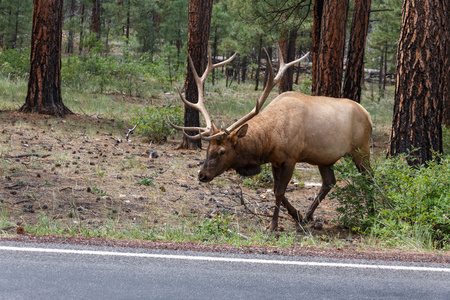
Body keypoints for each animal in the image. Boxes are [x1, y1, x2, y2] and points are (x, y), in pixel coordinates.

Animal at [170, 44, 372, 230]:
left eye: (222, 151)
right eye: (207, 149)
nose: (202, 175)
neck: (270, 140)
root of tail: (367, 114)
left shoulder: (291, 158)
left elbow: (280, 191)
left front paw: (273, 225)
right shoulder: (276, 160)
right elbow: (277, 190)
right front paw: (297, 216)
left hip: (361, 149)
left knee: (369, 178)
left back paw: (371, 214)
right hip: (324, 158)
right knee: (329, 182)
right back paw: (308, 216)